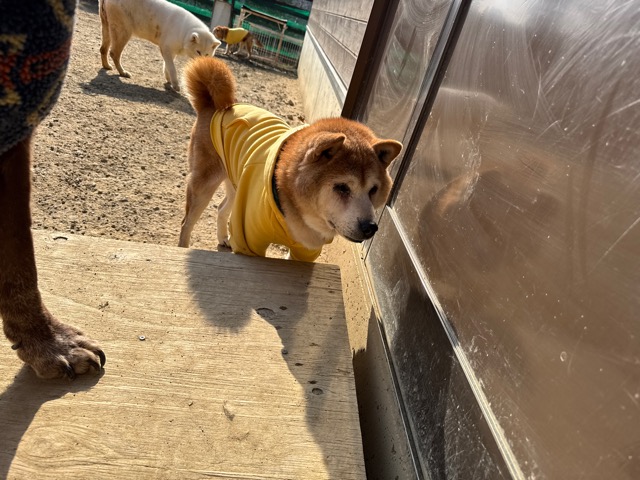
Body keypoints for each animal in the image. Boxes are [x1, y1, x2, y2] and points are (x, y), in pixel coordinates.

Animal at [178, 57, 403, 261]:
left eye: (373, 190)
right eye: (342, 187)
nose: (370, 227)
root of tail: (216, 106)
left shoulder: (305, 251)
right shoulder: (249, 241)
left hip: (236, 184)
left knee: (221, 209)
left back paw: (223, 238)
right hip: (204, 185)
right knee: (186, 222)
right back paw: (182, 248)